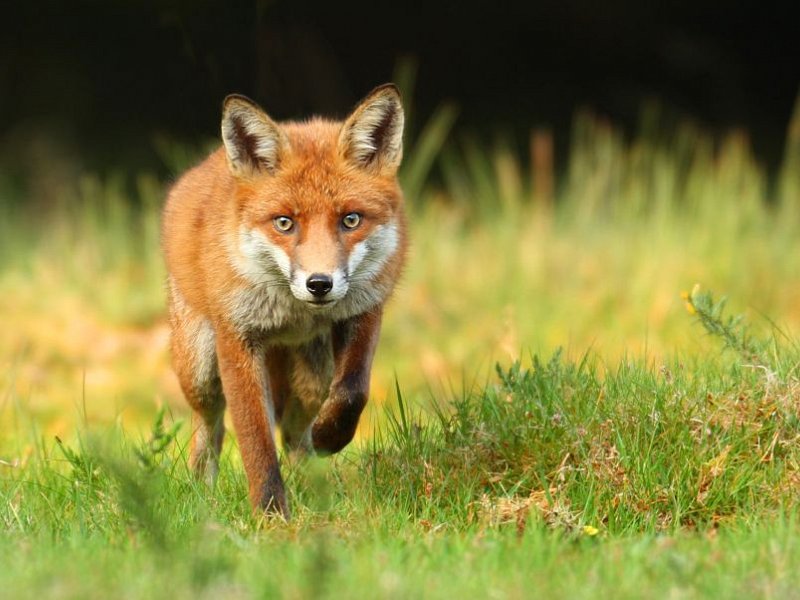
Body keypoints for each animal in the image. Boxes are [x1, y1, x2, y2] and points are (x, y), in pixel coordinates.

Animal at [161, 84, 407, 518]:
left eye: (350, 220)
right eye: (284, 223)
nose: (319, 284)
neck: (294, 313)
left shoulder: (363, 308)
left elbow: (353, 391)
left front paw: (331, 436)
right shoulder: (237, 338)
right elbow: (256, 440)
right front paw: (272, 515)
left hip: (314, 375)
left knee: (295, 432)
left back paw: (314, 485)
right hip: (200, 369)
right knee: (210, 424)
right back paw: (201, 492)